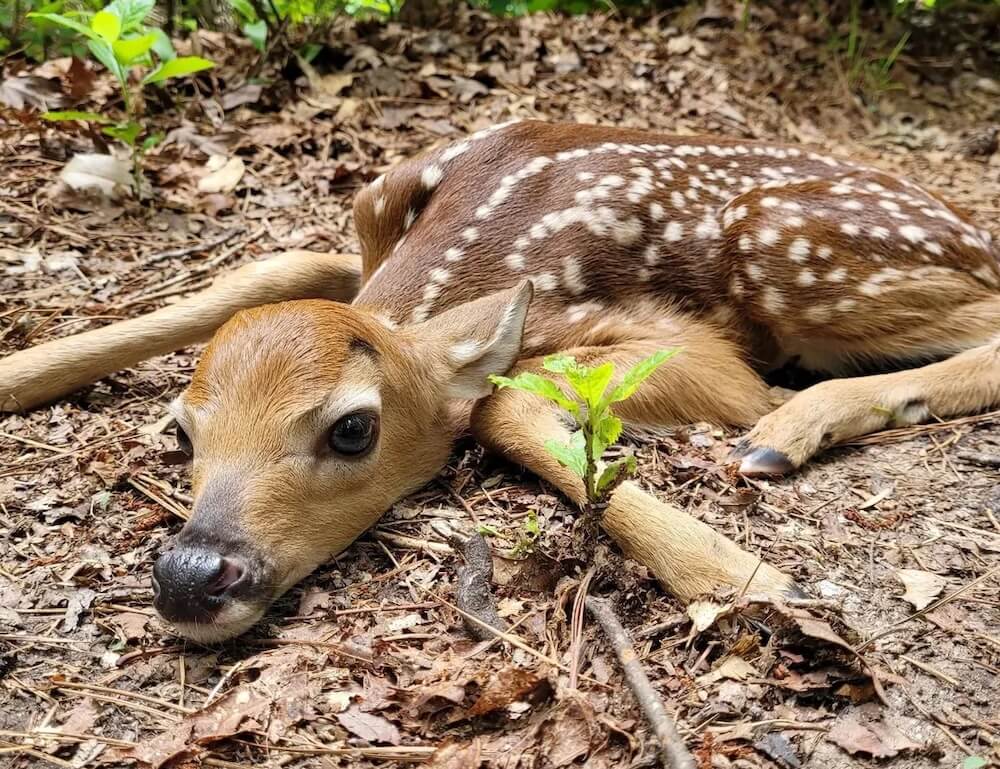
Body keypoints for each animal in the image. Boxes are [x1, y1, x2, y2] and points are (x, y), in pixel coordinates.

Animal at [2, 120, 998, 643]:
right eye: (182, 431)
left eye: (352, 428)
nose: (191, 575)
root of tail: (969, 226)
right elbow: (273, 266)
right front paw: (18, 373)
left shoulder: (704, 352)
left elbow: (501, 400)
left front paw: (744, 574)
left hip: (785, 249)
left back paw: (790, 432)